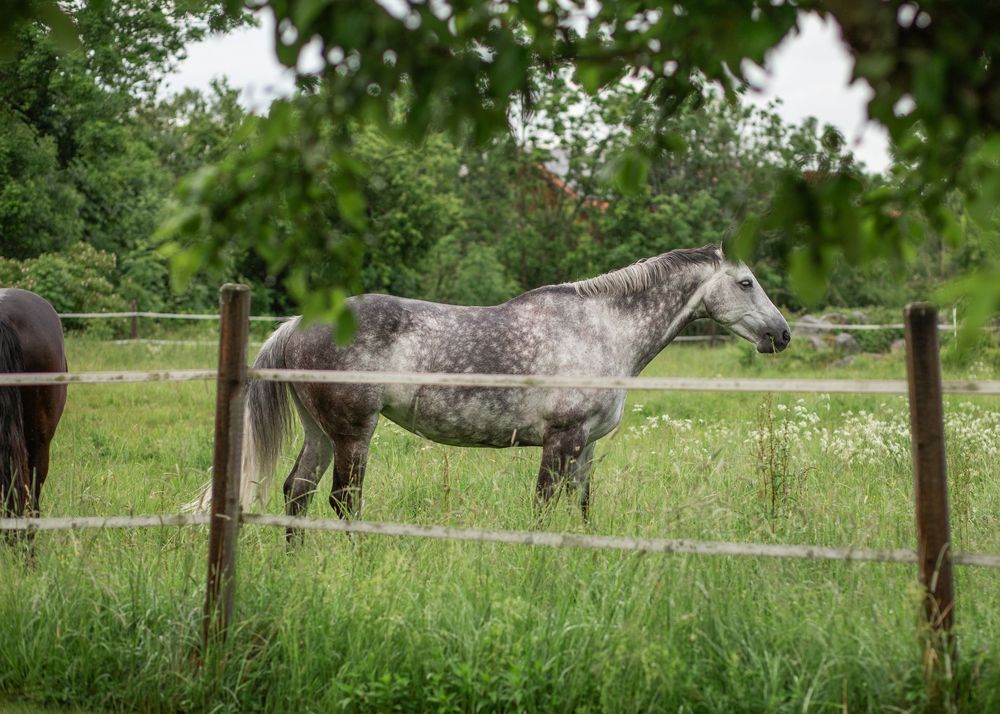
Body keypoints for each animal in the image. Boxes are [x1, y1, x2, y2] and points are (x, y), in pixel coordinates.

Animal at [186, 244, 790, 538]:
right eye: (746, 282)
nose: (781, 334)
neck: (600, 328)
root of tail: (297, 324)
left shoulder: (587, 445)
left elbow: (582, 507)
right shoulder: (562, 439)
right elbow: (545, 506)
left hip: (320, 433)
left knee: (298, 492)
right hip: (354, 433)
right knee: (342, 501)